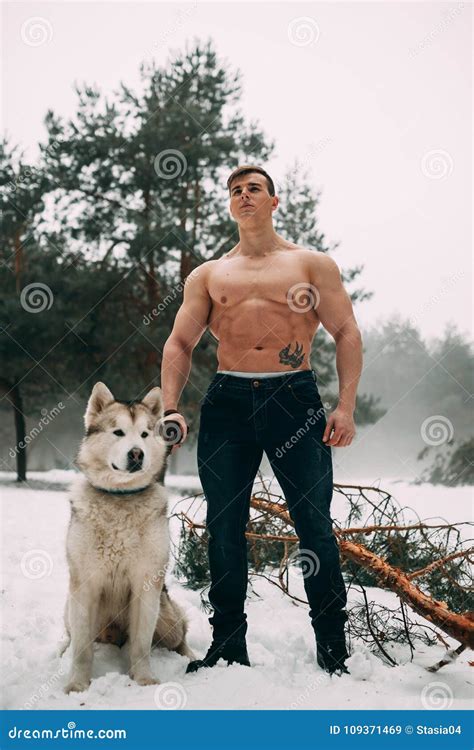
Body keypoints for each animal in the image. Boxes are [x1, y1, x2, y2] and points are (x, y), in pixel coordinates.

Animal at [61, 384, 194, 696]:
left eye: (144, 434)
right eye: (118, 432)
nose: (136, 454)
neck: (120, 498)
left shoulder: (146, 584)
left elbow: (141, 645)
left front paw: (144, 679)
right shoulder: (83, 586)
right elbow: (82, 650)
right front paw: (77, 684)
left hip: (166, 616)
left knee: (180, 636)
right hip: (70, 608)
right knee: (73, 638)